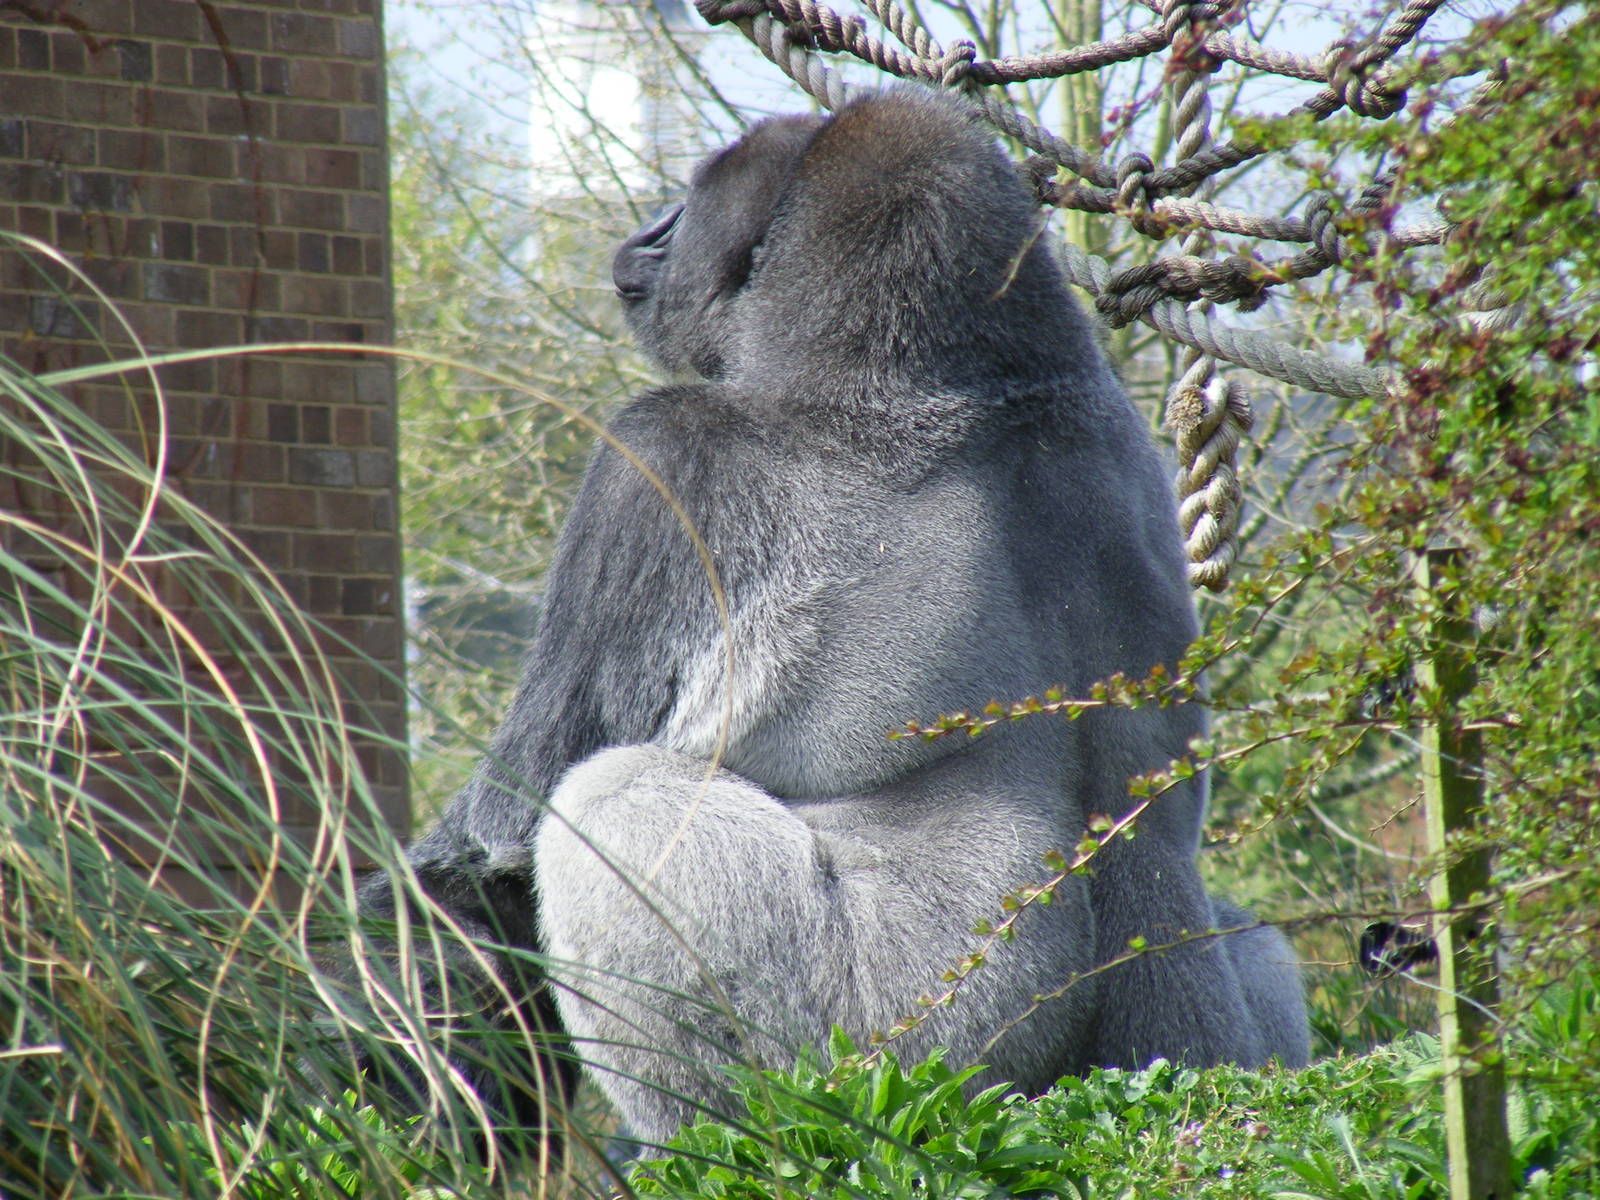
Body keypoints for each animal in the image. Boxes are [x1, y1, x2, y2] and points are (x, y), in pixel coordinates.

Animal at [361, 85, 1308, 1151]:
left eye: (694, 202)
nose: (650, 232)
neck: (941, 369)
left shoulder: (661, 460)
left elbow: (495, 847)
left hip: (899, 1065)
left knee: (609, 803)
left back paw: (705, 1141)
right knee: (1257, 949)